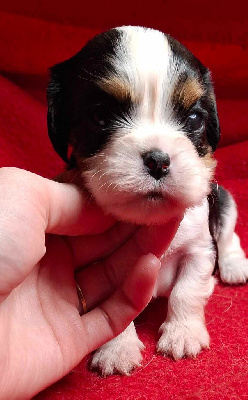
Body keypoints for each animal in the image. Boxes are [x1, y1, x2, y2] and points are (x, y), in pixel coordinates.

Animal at [47, 26, 248, 376]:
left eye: (194, 118)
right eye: (100, 116)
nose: (158, 161)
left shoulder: (199, 247)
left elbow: (187, 291)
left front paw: (183, 334)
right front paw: (117, 349)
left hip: (223, 199)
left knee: (229, 234)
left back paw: (235, 266)